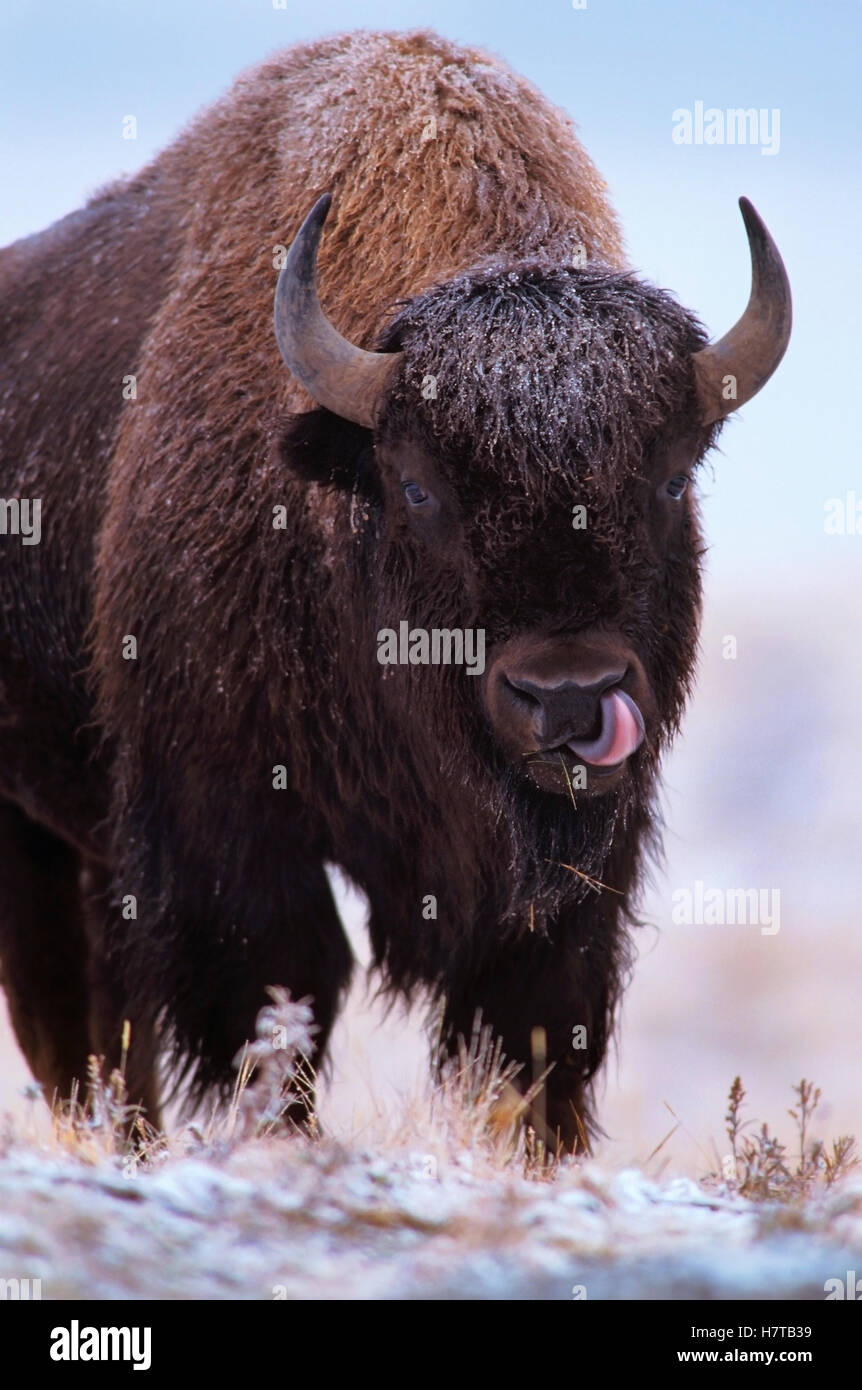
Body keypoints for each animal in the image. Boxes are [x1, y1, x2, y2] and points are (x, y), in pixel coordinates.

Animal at [0, 30, 790, 1149]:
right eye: (418, 486)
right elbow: (282, 991)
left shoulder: (578, 880)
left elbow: (531, 1026)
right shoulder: (230, 830)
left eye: (673, 478)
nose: (569, 697)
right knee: (70, 1022)